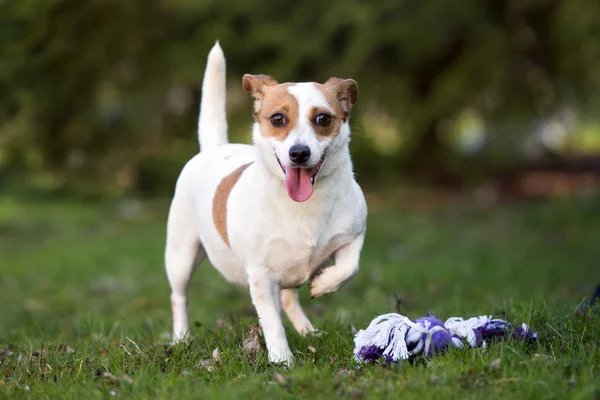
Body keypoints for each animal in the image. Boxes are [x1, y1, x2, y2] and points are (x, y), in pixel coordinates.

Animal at [166, 42, 368, 364]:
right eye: (277, 119)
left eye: (323, 119)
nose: (299, 153)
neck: (303, 206)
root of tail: (215, 147)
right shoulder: (261, 276)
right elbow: (272, 322)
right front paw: (282, 360)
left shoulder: (353, 237)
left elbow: (350, 268)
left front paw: (324, 283)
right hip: (181, 257)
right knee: (179, 297)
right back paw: (181, 338)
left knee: (288, 297)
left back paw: (308, 332)